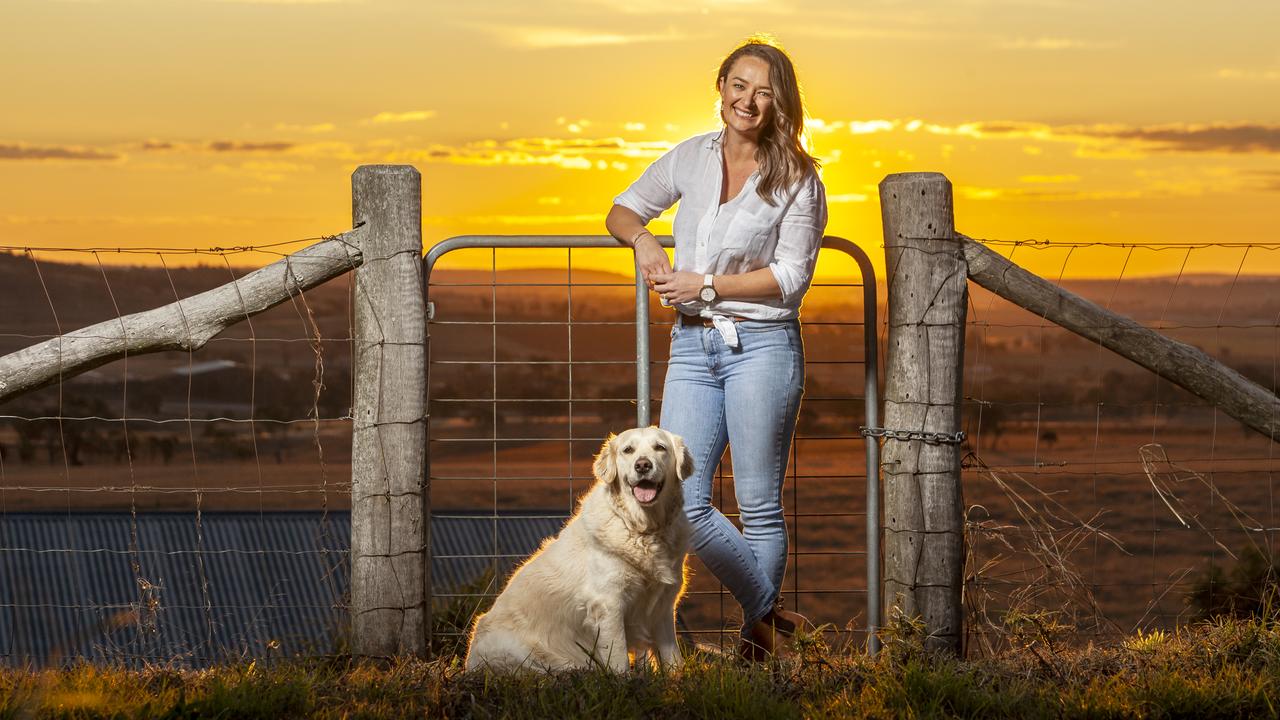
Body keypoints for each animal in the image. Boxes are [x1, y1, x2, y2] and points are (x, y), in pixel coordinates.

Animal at [465, 422, 696, 671]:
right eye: (628, 450)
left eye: (660, 447)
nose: (643, 465)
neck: (644, 530)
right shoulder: (607, 604)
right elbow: (619, 658)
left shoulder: (663, 606)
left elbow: (673, 658)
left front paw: (676, 678)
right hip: (523, 654)